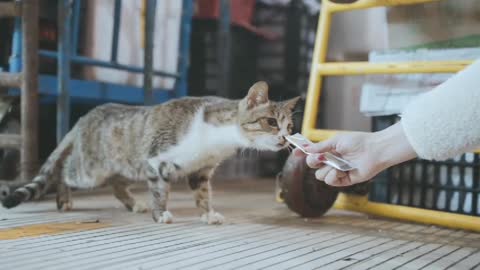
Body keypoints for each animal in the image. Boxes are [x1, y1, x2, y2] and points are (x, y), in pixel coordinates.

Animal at [0, 81, 300, 225]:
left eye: (289, 126)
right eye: (270, 122)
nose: (285, 139)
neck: (218, 140)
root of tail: (84, 118)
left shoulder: (201, 171)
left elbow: (203, 195)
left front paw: (207, 214)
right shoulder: (157, 160)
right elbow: (160, 191)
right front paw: (161, 214)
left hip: (128, 165)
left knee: (117, 184)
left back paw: (133, 204)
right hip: (91, 170)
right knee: (64, 172)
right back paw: (65, 199)